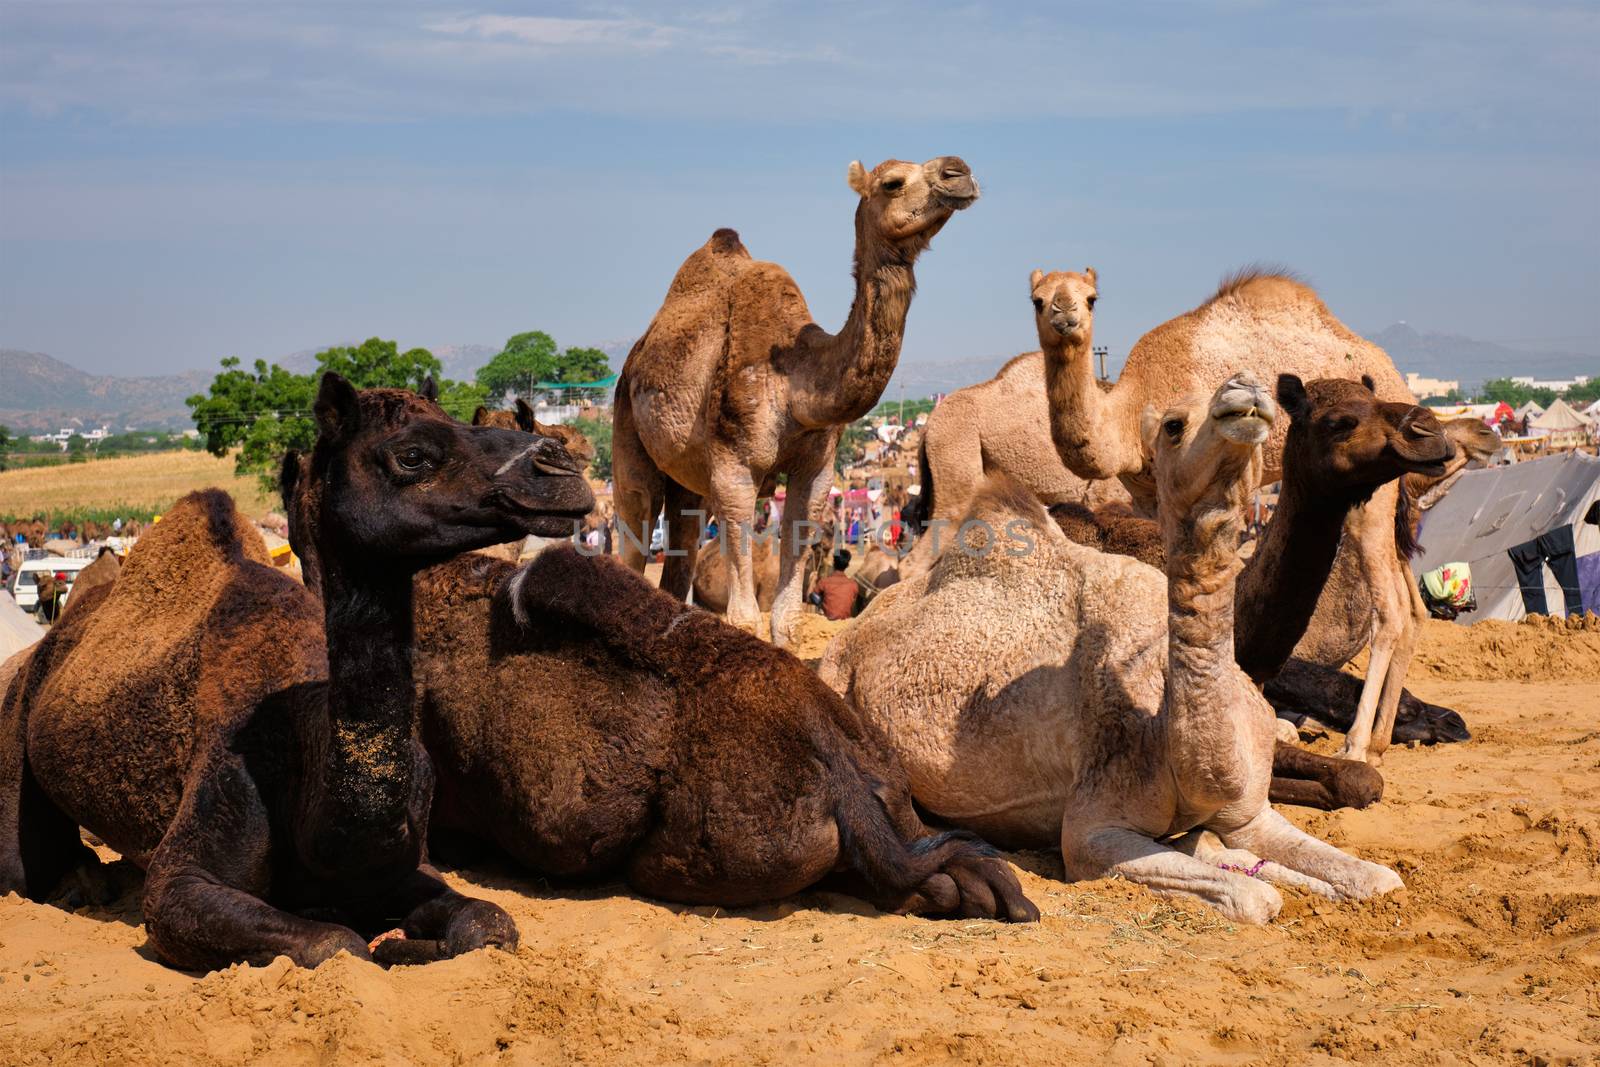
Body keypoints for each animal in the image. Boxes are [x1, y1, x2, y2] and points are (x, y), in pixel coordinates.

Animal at [0, 377, 595, 979]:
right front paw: (374, 939)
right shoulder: (188, 868)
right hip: (17, 713)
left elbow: (487, 923)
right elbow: (338, 944)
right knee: (23, 865)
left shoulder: (408, 864)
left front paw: (408, 944)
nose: (561, 469)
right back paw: (83, 883)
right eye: (411, 455)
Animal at [614, 154, 972, 646]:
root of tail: (634, 360)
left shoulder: (817, 469)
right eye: (892, 182)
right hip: (627, 424)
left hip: (687, 479)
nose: (959, 172)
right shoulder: (733, 465)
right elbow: (744, 615)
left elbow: (786, 616)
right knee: (635, 524)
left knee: (681, 545)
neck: (796, 382)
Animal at [825, 375, 1401, 927]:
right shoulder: (1092, 829)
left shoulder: (1251, 811)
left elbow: (1379, 881)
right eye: (1173, 424)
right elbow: (1254, 897)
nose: (1246, 393)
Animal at [1036, 268, 1427, 767]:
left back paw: (1356, 745)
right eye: (1038, 298)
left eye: (1091, 299)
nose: (1065, 315)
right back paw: (1378, 742)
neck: (1126, 413)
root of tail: (1398, 383)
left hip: (1372, 497)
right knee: (1414, 610)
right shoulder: (1147, 492)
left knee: (1391, 610)